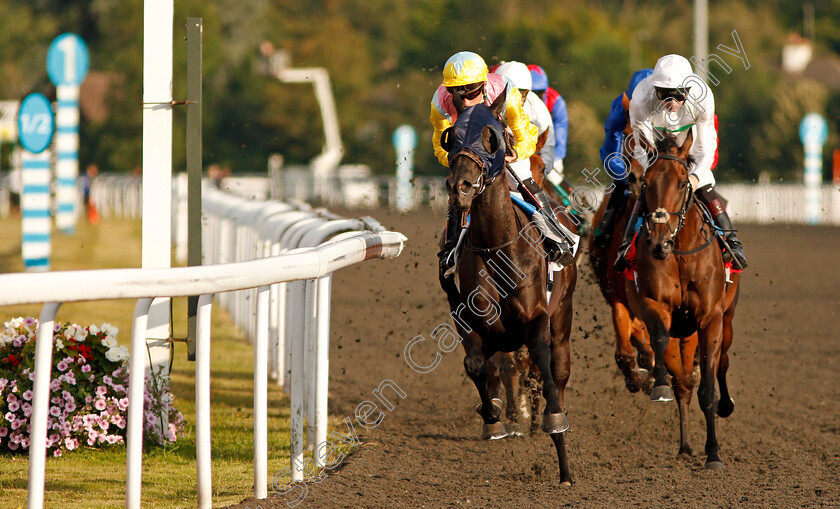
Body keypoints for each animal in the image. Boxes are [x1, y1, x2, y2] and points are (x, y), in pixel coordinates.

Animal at [440, 92, 576, 484]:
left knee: (559, 370)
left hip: (563, 316)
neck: (498, 246)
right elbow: (475, 365)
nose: (461, 187)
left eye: (493, 137)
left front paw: (553, 426)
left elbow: (544, 366)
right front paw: (493, 418)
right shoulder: (470, 321)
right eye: (451, 137)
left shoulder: (537, 319)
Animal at [632, 132, 740, 468]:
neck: (679, 252)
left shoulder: (710, 318)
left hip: (727, 320)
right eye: (646, 182)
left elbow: (708, 386)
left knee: (723, 362)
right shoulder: (654, 303)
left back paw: (726, 405)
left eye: (682, 183)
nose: (659, 243)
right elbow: (659, 337)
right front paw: (659, 385)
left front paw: (714, 452)